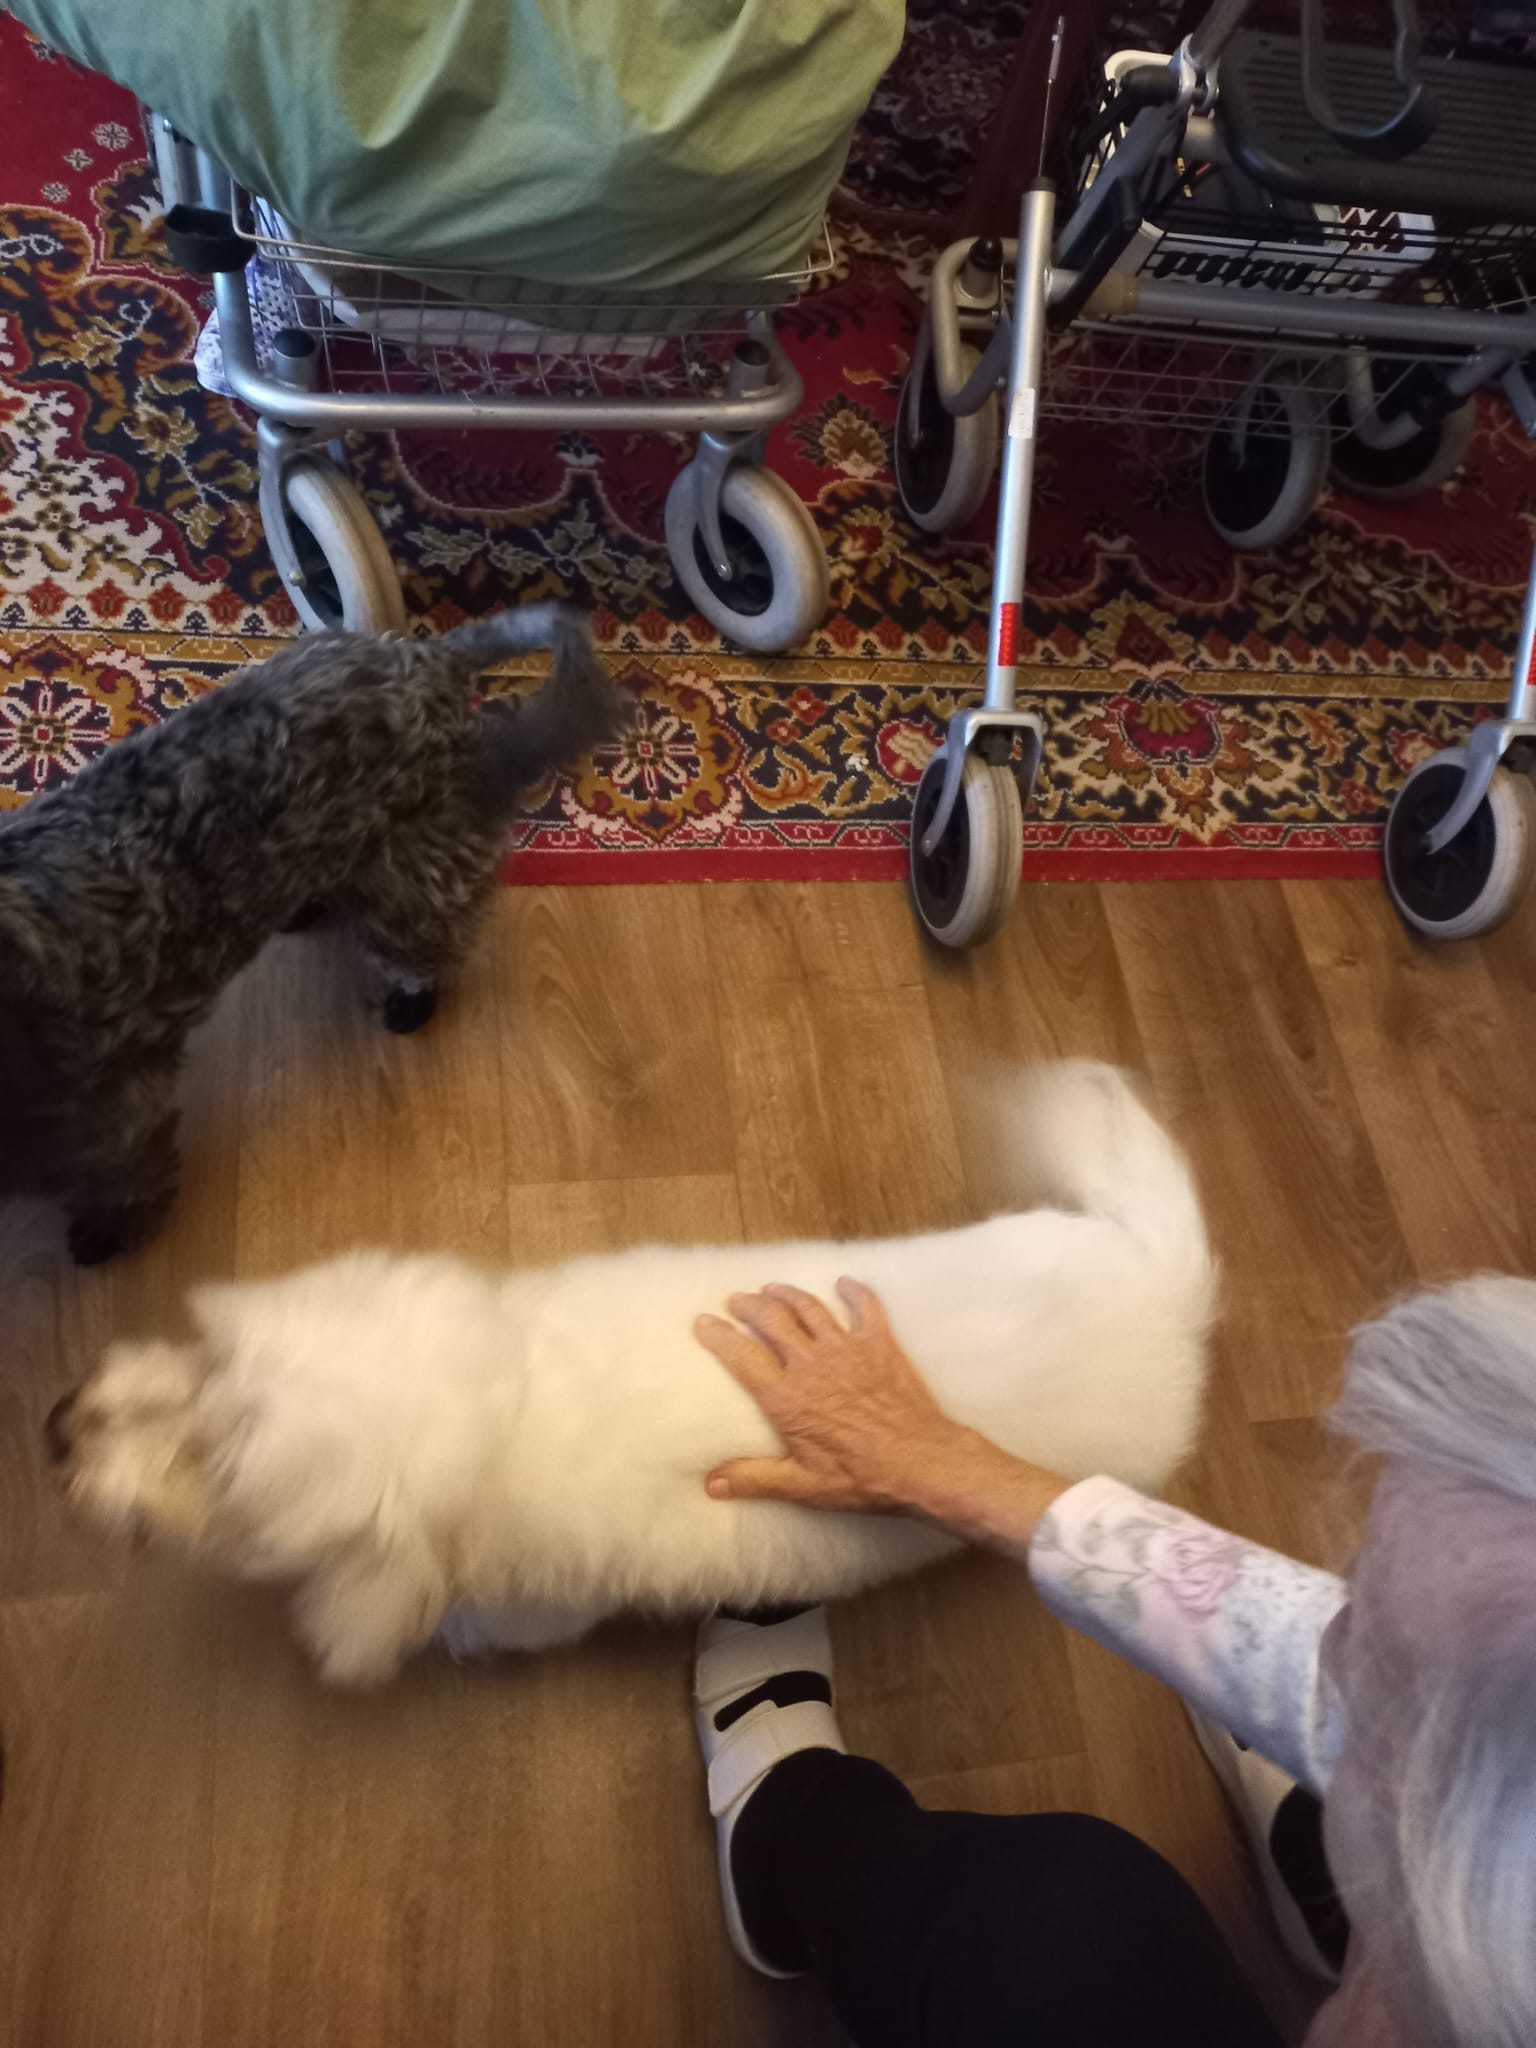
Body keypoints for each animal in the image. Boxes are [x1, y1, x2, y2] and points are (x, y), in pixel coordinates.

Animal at [0, 606, 625, 1264]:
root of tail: (428, 658)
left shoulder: (113, 1109)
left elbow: (123, 1177)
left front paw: (111, 1229)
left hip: (409, 873)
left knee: (428, 938)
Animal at [50, 1062, 1215, 1686]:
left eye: (220, 1471)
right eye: (206, 1364)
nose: (55, 1426)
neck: (496, 1408)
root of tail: (1163, 1286)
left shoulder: (536, 1593)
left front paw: (458, 1634)